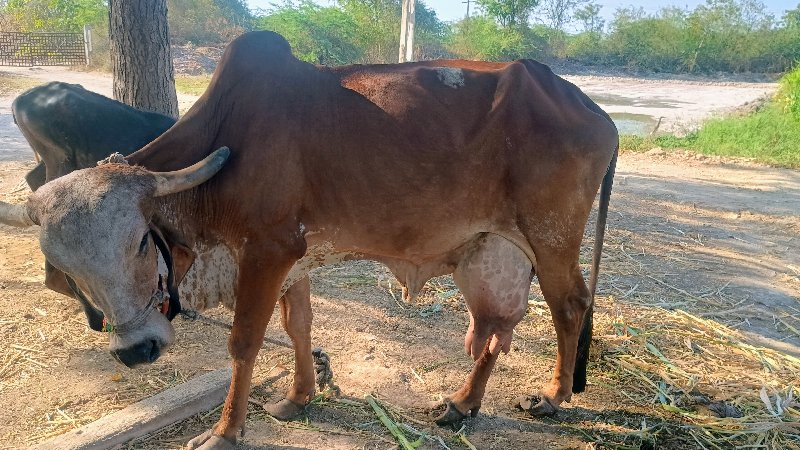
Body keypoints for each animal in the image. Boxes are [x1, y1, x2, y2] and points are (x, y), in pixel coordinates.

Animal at [0, 32, 620, 450]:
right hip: (492, 250)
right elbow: (298, 325)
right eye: (65, 269)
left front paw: (226, 431)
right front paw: (299, 397)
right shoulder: (292, 257)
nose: (137, 351)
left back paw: (553, 397)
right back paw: (462, 404)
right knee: (496, 329)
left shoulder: (267, 251)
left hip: (552, 239)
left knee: (570, 307)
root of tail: (595, 111)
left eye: (137, 244)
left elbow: (245, 342)